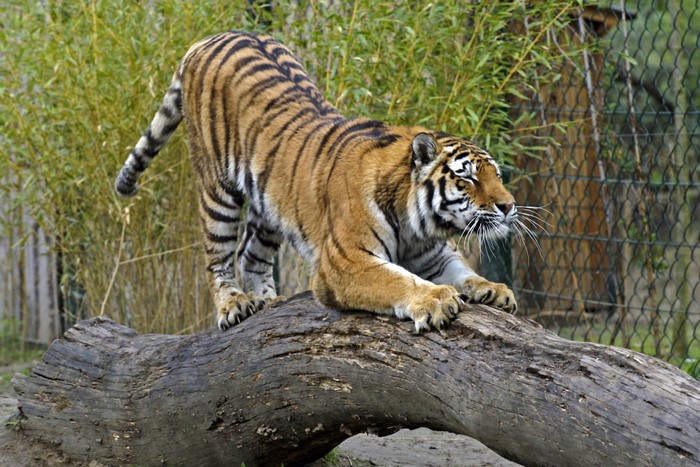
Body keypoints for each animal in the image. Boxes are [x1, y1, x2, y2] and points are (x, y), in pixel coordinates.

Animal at [115, 30, 518, 333]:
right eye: (467, 177)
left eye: (496, 174)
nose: (509, 206)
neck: (418, 225)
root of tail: (211, 37)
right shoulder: (345, 262)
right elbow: (398, 281)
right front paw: (436, 300)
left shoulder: (434, 255)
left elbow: (464, 272)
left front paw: (495, 290)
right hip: (218, 190)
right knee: (218, 257)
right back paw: (233, 305)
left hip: (270, 203)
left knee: (250, 254)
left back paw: (267, 301)